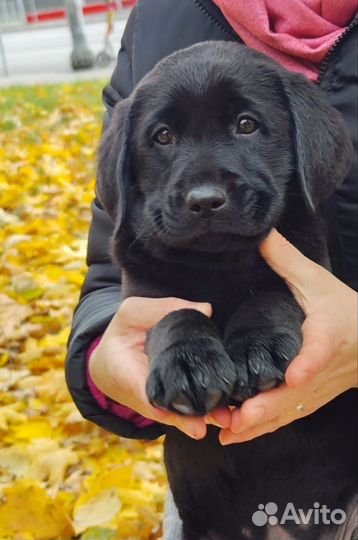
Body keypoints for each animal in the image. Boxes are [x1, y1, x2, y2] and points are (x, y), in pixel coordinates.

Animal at [96, 41, 356, 540]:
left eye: (247, 125)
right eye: (162, 136)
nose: (204, 200)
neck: (219, 264)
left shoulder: (306, 263)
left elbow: (271, 296)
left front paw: (259, 347)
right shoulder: (143, 293)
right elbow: (175, 314)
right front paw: (188, 363)